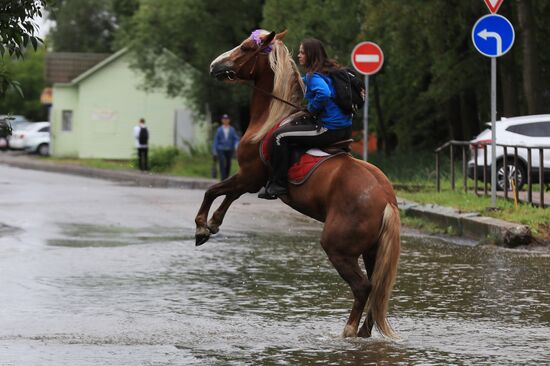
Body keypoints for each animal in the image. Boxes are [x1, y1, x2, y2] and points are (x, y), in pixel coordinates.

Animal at [197, 30, 402, 338]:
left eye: (245, 48)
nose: (215, 65)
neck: (272, 118)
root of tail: (386, 198)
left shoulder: (249, 175)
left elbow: (213, 191)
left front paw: (202, 227)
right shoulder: (250, 179)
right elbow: (228, 196)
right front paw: (214, 223)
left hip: (338, 247)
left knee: (363, 287)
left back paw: (349, 332)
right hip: (372, 249)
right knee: (377, 287)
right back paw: (365, 332)